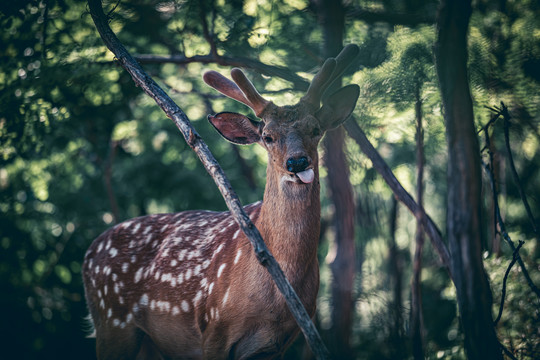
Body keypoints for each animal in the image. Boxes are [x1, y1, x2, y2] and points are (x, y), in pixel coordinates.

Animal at [82, 43, 360, 358]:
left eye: (315, 129)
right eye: (267, 136)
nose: (297, 162)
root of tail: (88, 254)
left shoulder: (281, 341)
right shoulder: (214, 328)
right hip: (112, 321)